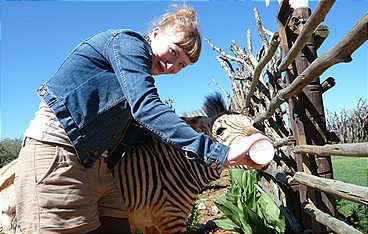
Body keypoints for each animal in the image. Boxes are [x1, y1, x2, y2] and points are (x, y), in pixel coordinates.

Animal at [110, 92, 264, 233]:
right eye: (220, 131)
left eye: (253, 123)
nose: (264, 141)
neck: (171, 166)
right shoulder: (170, 216)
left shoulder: (151, 223)